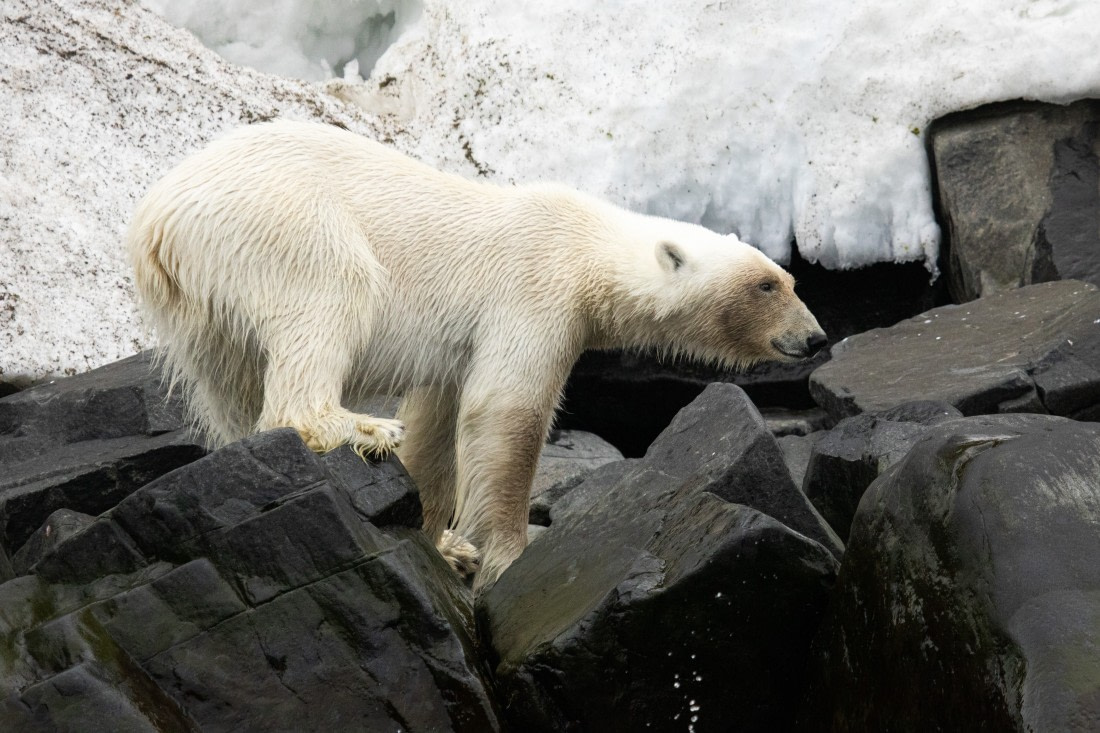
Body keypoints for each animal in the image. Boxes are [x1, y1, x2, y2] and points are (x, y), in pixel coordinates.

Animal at [127, 120, 826, 590]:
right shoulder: (534, 294)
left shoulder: (461, 344)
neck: (585, 246)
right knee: (331, 296)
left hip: (205, 306)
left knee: (233, 387)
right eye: (768, 284)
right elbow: (506, 413)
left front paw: (444, 544)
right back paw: (358, 425)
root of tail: (155, 219)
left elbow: (441, 422)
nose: (816, 337)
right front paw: (508, 555)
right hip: (281, 225)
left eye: (790, 280)